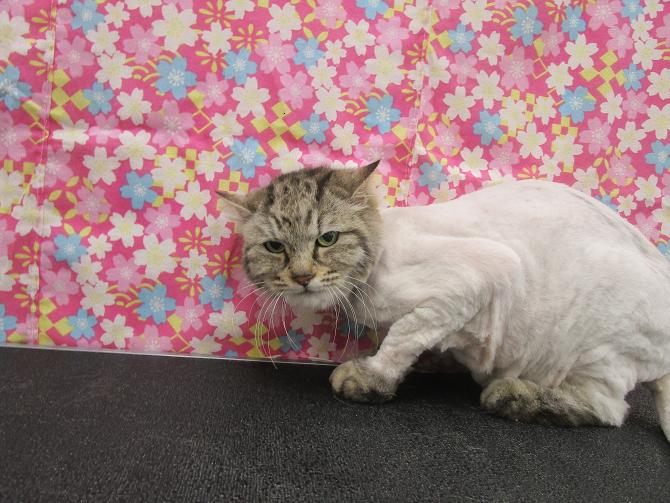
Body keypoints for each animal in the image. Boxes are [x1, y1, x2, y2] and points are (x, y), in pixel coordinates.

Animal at [218, 162, 670, 442]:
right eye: (275, 247)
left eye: (326, 239)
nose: (302, 276)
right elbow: (412, 338)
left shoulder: (478, 277)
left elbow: (402, 337)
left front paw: (372, 377)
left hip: (593, 348)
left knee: (610, 410)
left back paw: (511, 395)